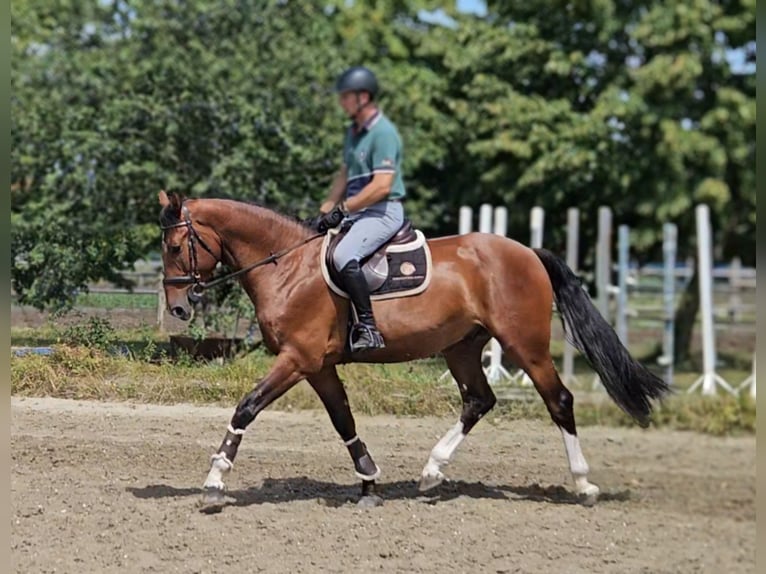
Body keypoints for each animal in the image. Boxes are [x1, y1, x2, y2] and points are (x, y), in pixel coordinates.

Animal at [158, 192, 672, 512]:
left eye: (177, 245)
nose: (178, 308)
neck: (287, 265)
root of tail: (528, 253)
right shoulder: (317, 366)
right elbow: (343, 419)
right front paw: (368, 480)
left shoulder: (297, 359)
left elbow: (246, 407)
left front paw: (215, 480)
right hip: (462, 347)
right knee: (478, 400)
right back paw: (431, 471)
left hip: (525, 345)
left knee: (558, 400)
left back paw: (583, 483)